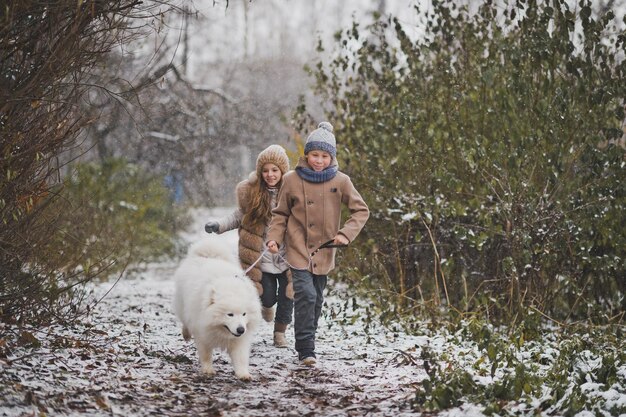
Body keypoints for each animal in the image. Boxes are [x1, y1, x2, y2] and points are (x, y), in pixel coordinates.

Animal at [171, 236, 260, 378]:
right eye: (230, 314)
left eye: (244, 314)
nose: (241, 329)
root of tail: (208, 256)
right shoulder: (202, 334)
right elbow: (206, 355)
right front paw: (208, 370)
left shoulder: (240, 340)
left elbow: (240, 357)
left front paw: (243, 374)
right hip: (183, 305)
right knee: (185, 320)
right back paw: (186, 334)